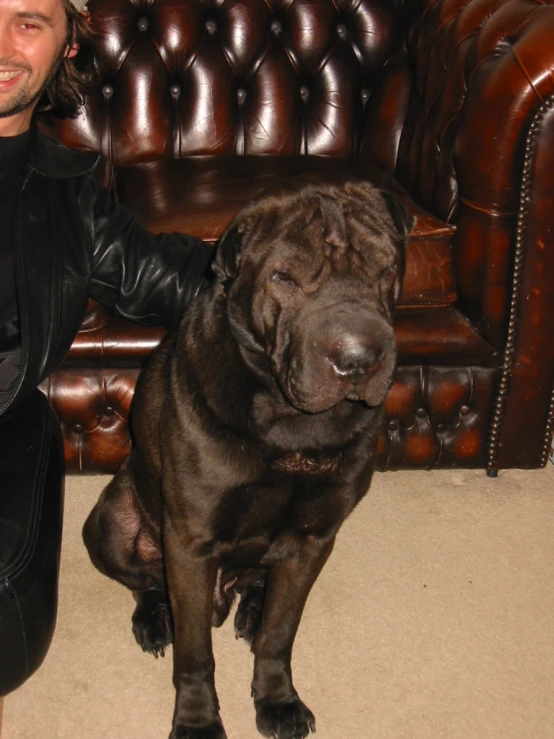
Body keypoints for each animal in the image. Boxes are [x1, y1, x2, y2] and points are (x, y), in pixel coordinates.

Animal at [82, 175, 410, 739]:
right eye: (284, 278)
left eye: (385, 270)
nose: (357, 360)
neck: (291, 428)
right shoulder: (189, 543)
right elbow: (195, 655)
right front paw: (196, 721)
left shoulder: (314, 538)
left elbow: (281, 633)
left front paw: (276, 699)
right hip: (109, 523)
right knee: (144, 582)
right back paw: (154, 619)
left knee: (261, 586)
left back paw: (252, 609)